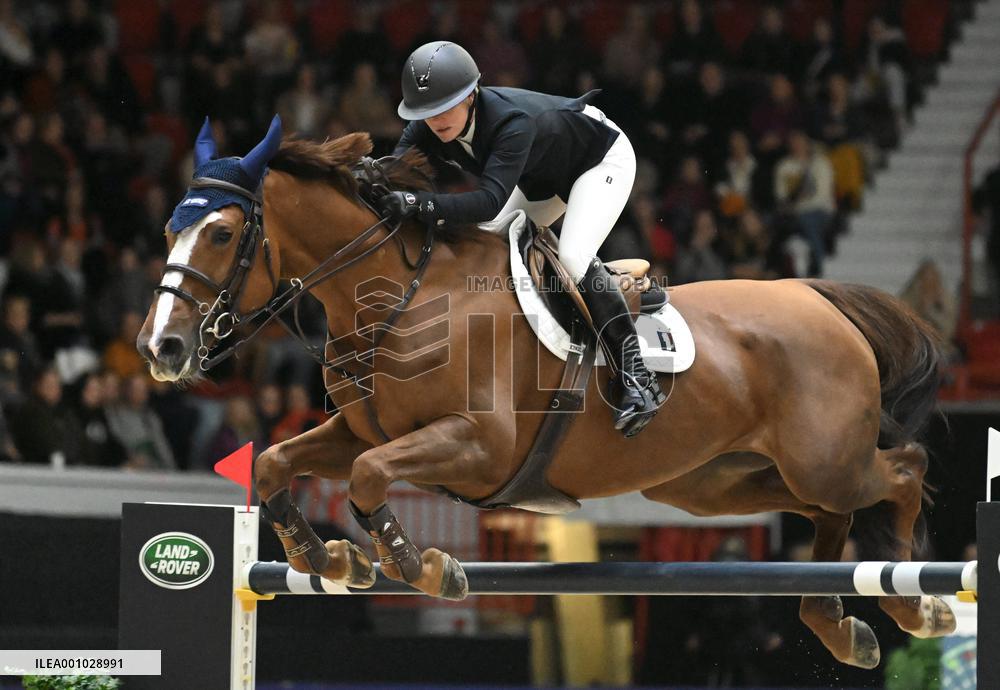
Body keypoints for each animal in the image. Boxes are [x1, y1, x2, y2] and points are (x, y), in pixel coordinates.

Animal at [137, 119, 954, 670]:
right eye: (170, 228)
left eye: (222, 234)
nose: (160, 349)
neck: (398, 297)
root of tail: (818, 297)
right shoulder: (360, 431)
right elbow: (276, 462)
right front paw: (332, 560)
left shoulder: (476, 447)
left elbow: (370, 479)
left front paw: (420, 567)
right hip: (717, 485)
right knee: (830, 512)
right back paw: (843, 620)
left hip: (821, 459)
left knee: (901, 470)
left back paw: (917, 601)